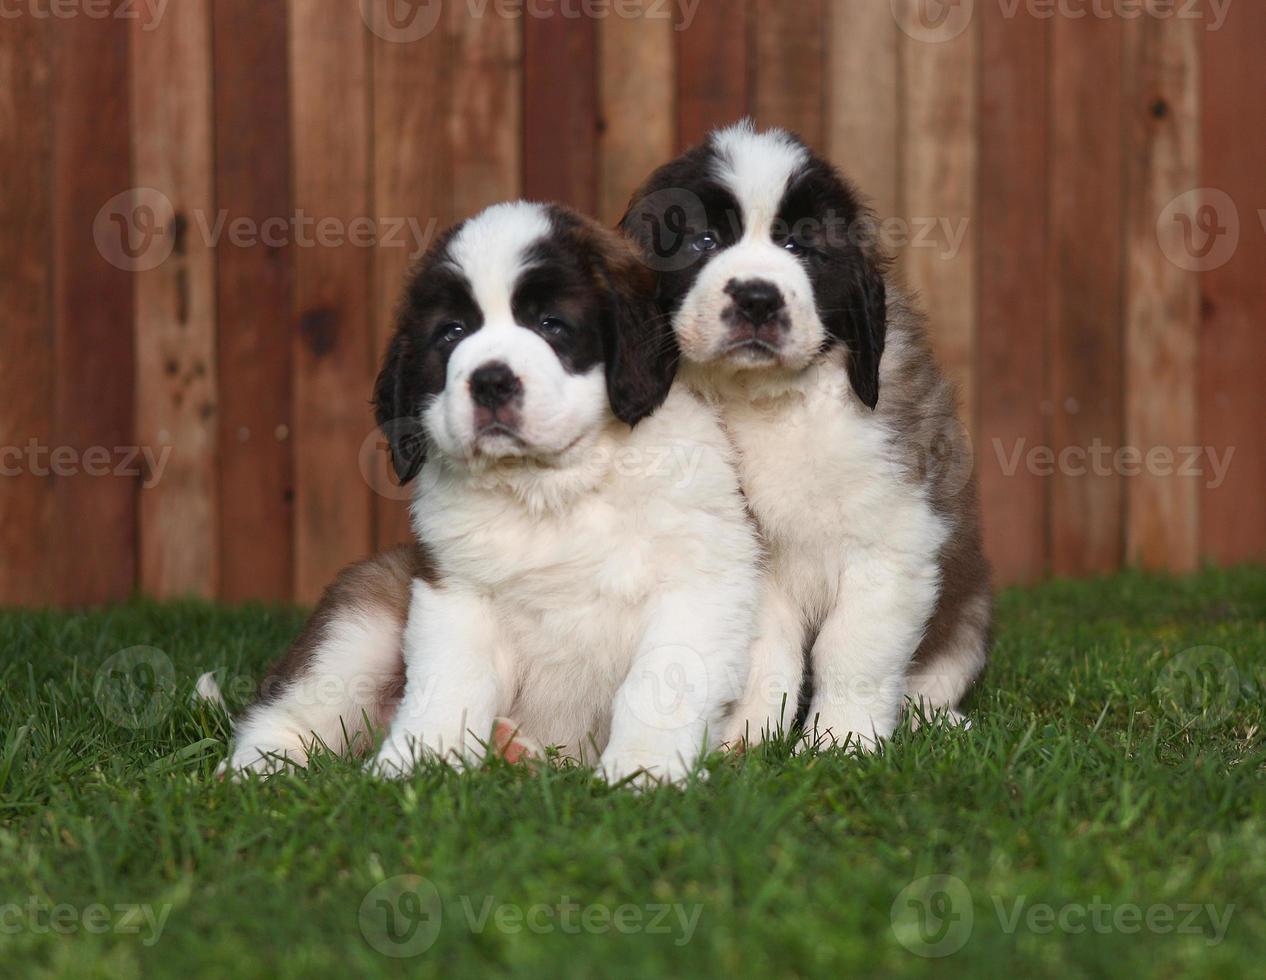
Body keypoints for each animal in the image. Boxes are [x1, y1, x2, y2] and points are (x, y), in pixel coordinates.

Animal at [215, 203, 759, 785]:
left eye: (551, 325)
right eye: (452, 333)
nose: (491, 381)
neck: (554, 488)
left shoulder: (699, 586)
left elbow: (661, 682)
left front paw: (643, 772)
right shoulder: (456, 592)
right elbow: (447, 684)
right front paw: (420, 764)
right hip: (362, 617)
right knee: (288, 711)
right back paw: (257, 772)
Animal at [620, 122, 987, 754]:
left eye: (801, 247)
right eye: (704, 241)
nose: (757, 298)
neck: (774, 402)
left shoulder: (891, 544)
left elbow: (852, 651)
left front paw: (840, 742)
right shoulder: (757, 559)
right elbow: (767, 655)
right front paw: (747, 736)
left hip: (967, 614)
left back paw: (937, 722)